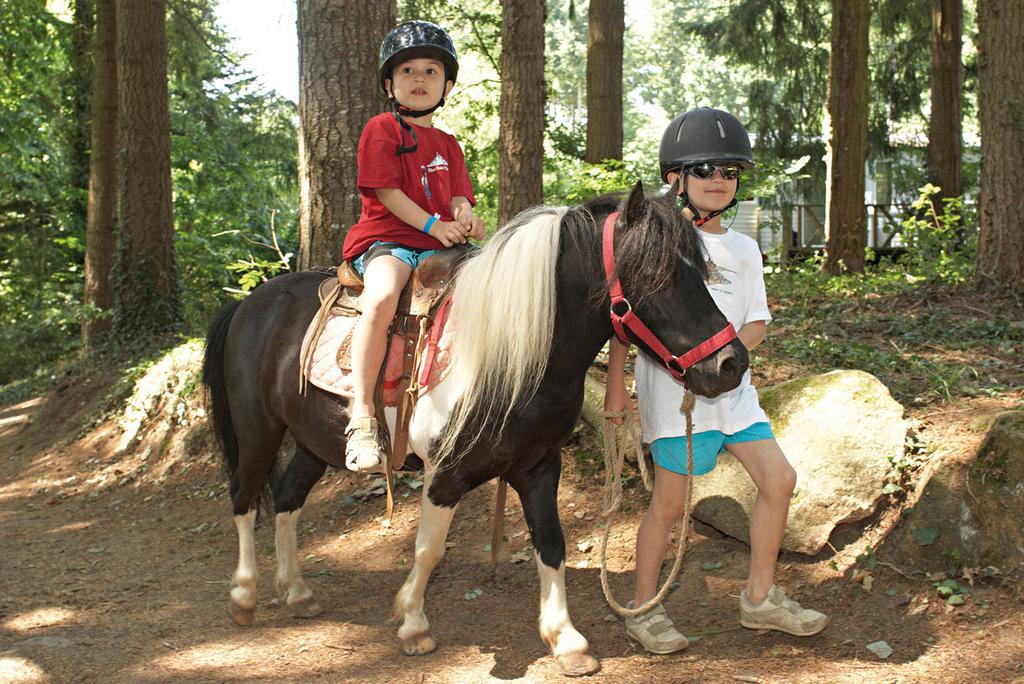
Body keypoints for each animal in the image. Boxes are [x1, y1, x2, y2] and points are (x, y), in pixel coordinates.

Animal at [201, 183, 745, 679]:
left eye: (700, 270)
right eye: (657, 273)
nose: (731, 364)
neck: (508, 354)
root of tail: (249, 304)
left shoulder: (539, 466)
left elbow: (552, 543)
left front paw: (566, 640)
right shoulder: (446, 474)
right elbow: (429, 548)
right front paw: (413, 624)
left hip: (314, 442)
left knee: (287, 497)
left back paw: (296, 592)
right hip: (258, 430)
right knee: (245, 499)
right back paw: (244, 594)